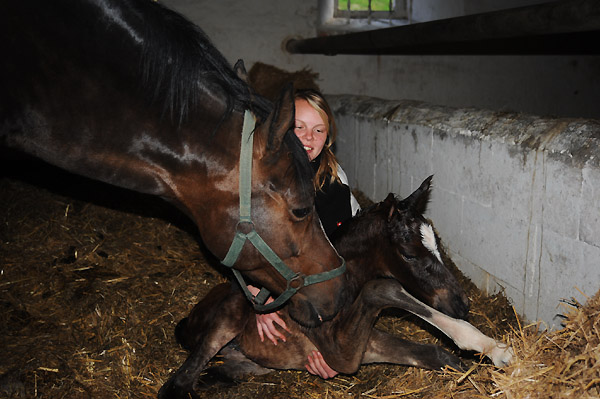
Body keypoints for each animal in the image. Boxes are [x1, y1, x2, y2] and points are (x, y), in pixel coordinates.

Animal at [164, 178, 510, 396]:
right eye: (410, 254)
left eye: (438, 244)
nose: (462, 304)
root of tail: (189, 317)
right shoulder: (338, 351)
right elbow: (384, 287)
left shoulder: (366, 344)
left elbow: (436, 354)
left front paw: (494, 351)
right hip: (227, 318)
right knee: (177, 383)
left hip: (251, 363)